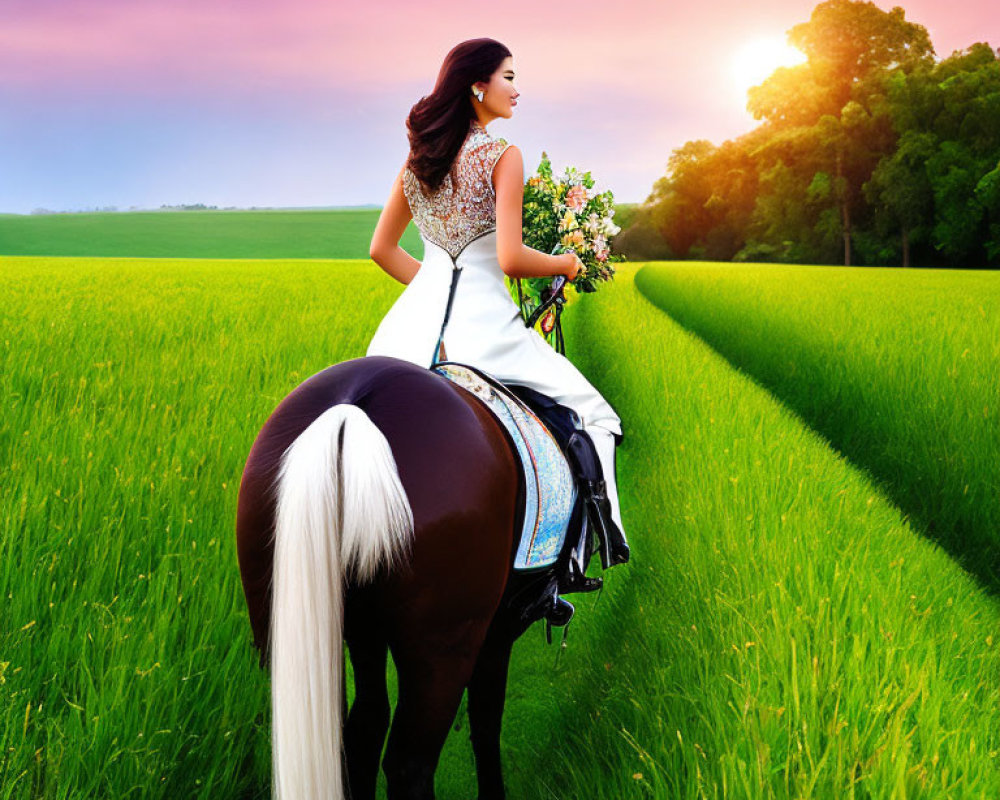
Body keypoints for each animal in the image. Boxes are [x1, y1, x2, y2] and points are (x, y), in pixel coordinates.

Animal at [236, 354, 556, 800]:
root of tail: (348, 413)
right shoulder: (500, 628)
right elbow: (486, 720)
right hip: (444, 644)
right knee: (410, 766)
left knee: (359, 728)